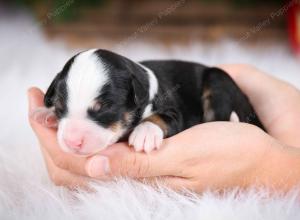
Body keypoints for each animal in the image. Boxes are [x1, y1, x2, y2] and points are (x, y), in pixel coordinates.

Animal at [32, 49, 262, 156]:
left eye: (105, 109)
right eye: (60, 106)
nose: (72, 142)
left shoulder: (174, 111)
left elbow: (163, 117)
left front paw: (145, 133)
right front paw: (46, 113)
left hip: (218, 80)